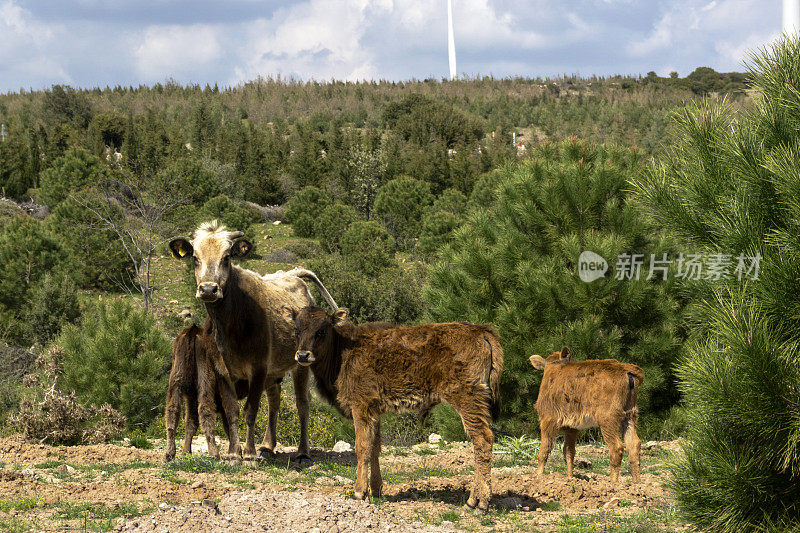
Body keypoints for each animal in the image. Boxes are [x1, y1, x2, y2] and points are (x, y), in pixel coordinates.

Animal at [166, 320, 244, 462]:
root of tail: (193, 331)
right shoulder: (225, 385)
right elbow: (232, 415)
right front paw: (236, 452)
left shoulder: (192, 396)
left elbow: (191, 422)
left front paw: (186, 452)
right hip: (205, 381)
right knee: (205, 410)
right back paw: (214, 453)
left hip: (176, 381)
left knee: (172, 410)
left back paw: (170, 454)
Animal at [284, 308, 504, 512]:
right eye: (296, 330)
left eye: (321, 330)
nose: (302, 355)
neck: (343, 351)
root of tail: (480, 331)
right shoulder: (374, 411)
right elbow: (374, 447)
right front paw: (375, 490)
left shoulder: (361, 406)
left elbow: (362, 446)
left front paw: (359, 492)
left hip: (468, 398)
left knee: (482, 440)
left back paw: (477, 502)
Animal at [532, 348, 644, 484]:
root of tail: (627, 370)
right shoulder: (571, 426)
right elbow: (569, 452)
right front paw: (570, 478)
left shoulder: (548, 418)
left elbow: (544, 448)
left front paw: (538, 476)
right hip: (630, 414)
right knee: (633, 444)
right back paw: (636, 482)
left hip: (608, 417)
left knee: (616, 447)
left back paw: (613, 482)